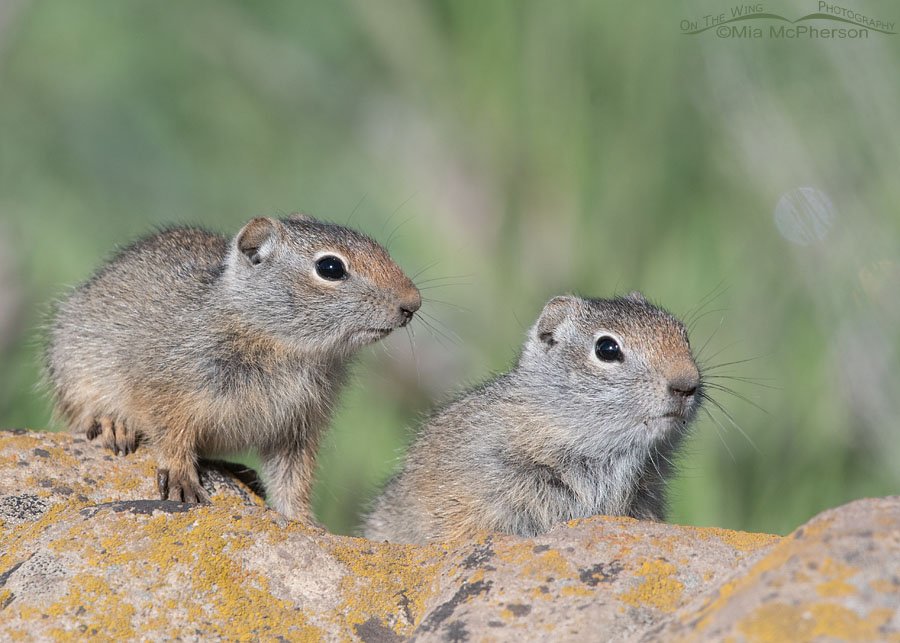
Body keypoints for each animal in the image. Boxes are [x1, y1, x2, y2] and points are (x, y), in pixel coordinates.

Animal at [46, 214, 421, 520]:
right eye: (330, 268)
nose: (413, 303)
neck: (283, 345)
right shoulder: (167, 391)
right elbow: (171, 437)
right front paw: (181, 479)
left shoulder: (297, 427)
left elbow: (293, 479)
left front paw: (304, 521)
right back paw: (113, 425)